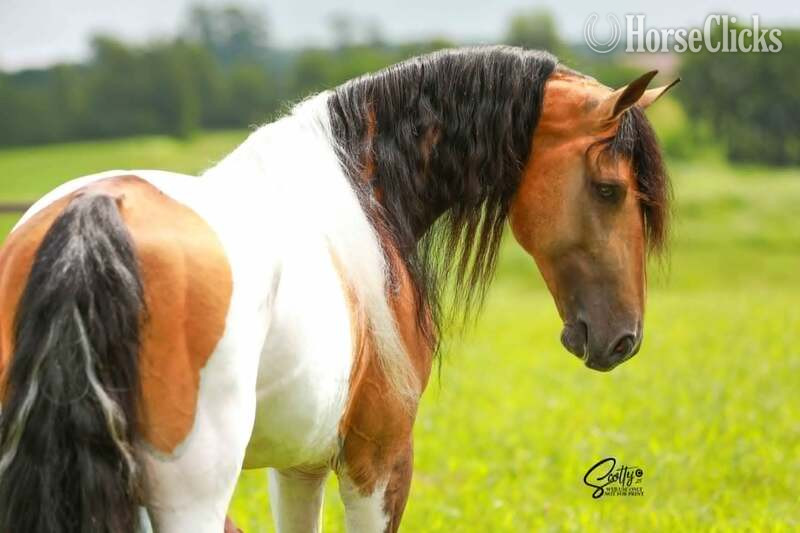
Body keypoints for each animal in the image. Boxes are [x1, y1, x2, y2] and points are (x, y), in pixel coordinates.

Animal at [0, 46, 676, 532]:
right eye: (610, 189)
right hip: (192, 494)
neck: (364, 193)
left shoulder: (297, 465)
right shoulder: (377, 461)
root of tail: (94, 213)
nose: (623, 338)